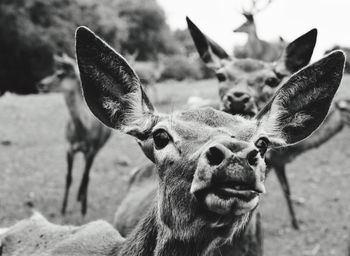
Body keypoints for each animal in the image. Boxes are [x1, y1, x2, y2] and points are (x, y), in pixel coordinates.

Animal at [37, 53, 111, 216]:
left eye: (60, 74)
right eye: (55, 71)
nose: (41, 84)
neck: (83, 131)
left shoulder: (92, 149)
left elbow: (85, 177)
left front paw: (82, 208)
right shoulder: (69, 147)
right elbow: (68, 177)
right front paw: (63, 209)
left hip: (98, 148)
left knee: (86, 175)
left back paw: (81, 201)